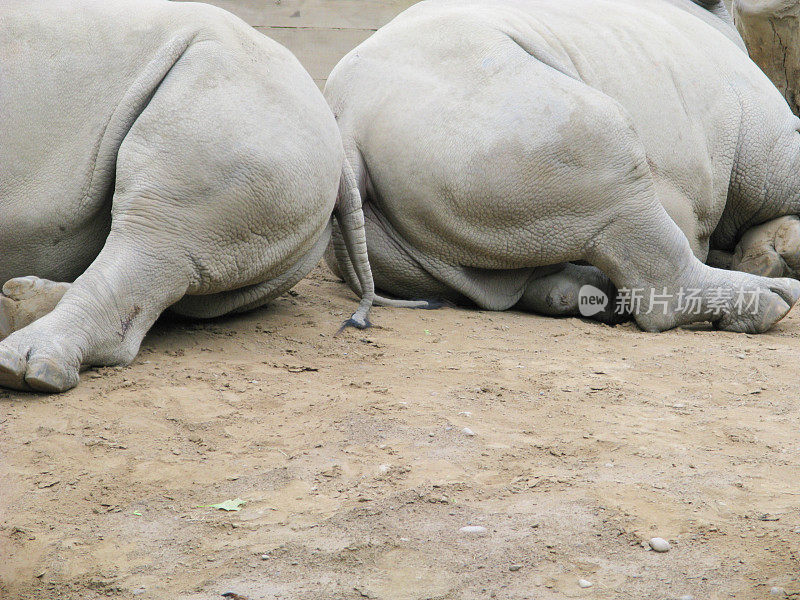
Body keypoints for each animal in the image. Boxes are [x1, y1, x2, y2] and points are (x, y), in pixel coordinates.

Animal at [324, 0, 800, 332]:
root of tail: (346, 126)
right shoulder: (769, 143)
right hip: (495, 112)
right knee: (611, 157)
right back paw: (774, 300)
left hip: (446, 151)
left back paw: (593, 297)